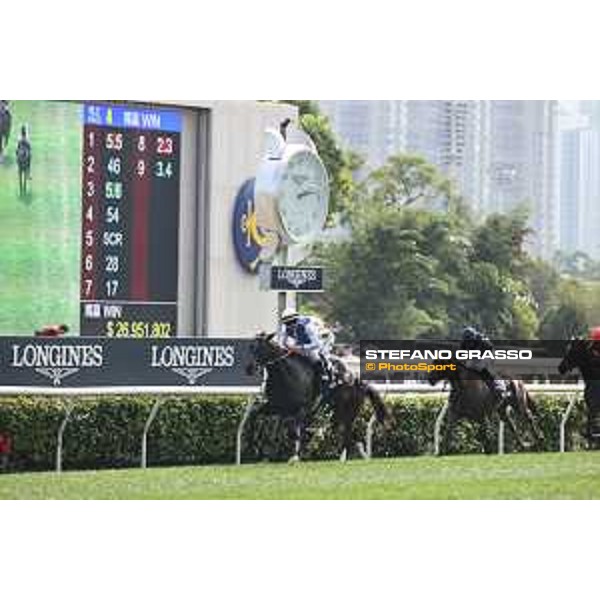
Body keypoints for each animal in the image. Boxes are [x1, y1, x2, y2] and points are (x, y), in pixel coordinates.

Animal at [245, 332, 390, 464]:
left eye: (260, 348)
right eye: (250, 347)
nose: (249, 368)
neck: (286, 373)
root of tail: (357, 378)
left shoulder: (303, 409)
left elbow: (293, 431)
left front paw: (295, 456)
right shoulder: (276, 406)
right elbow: (254, 415)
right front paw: (253, 446)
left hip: (348, 410)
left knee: (346, 432)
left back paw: (342, 456)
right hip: (335, 411)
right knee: (340, 430)